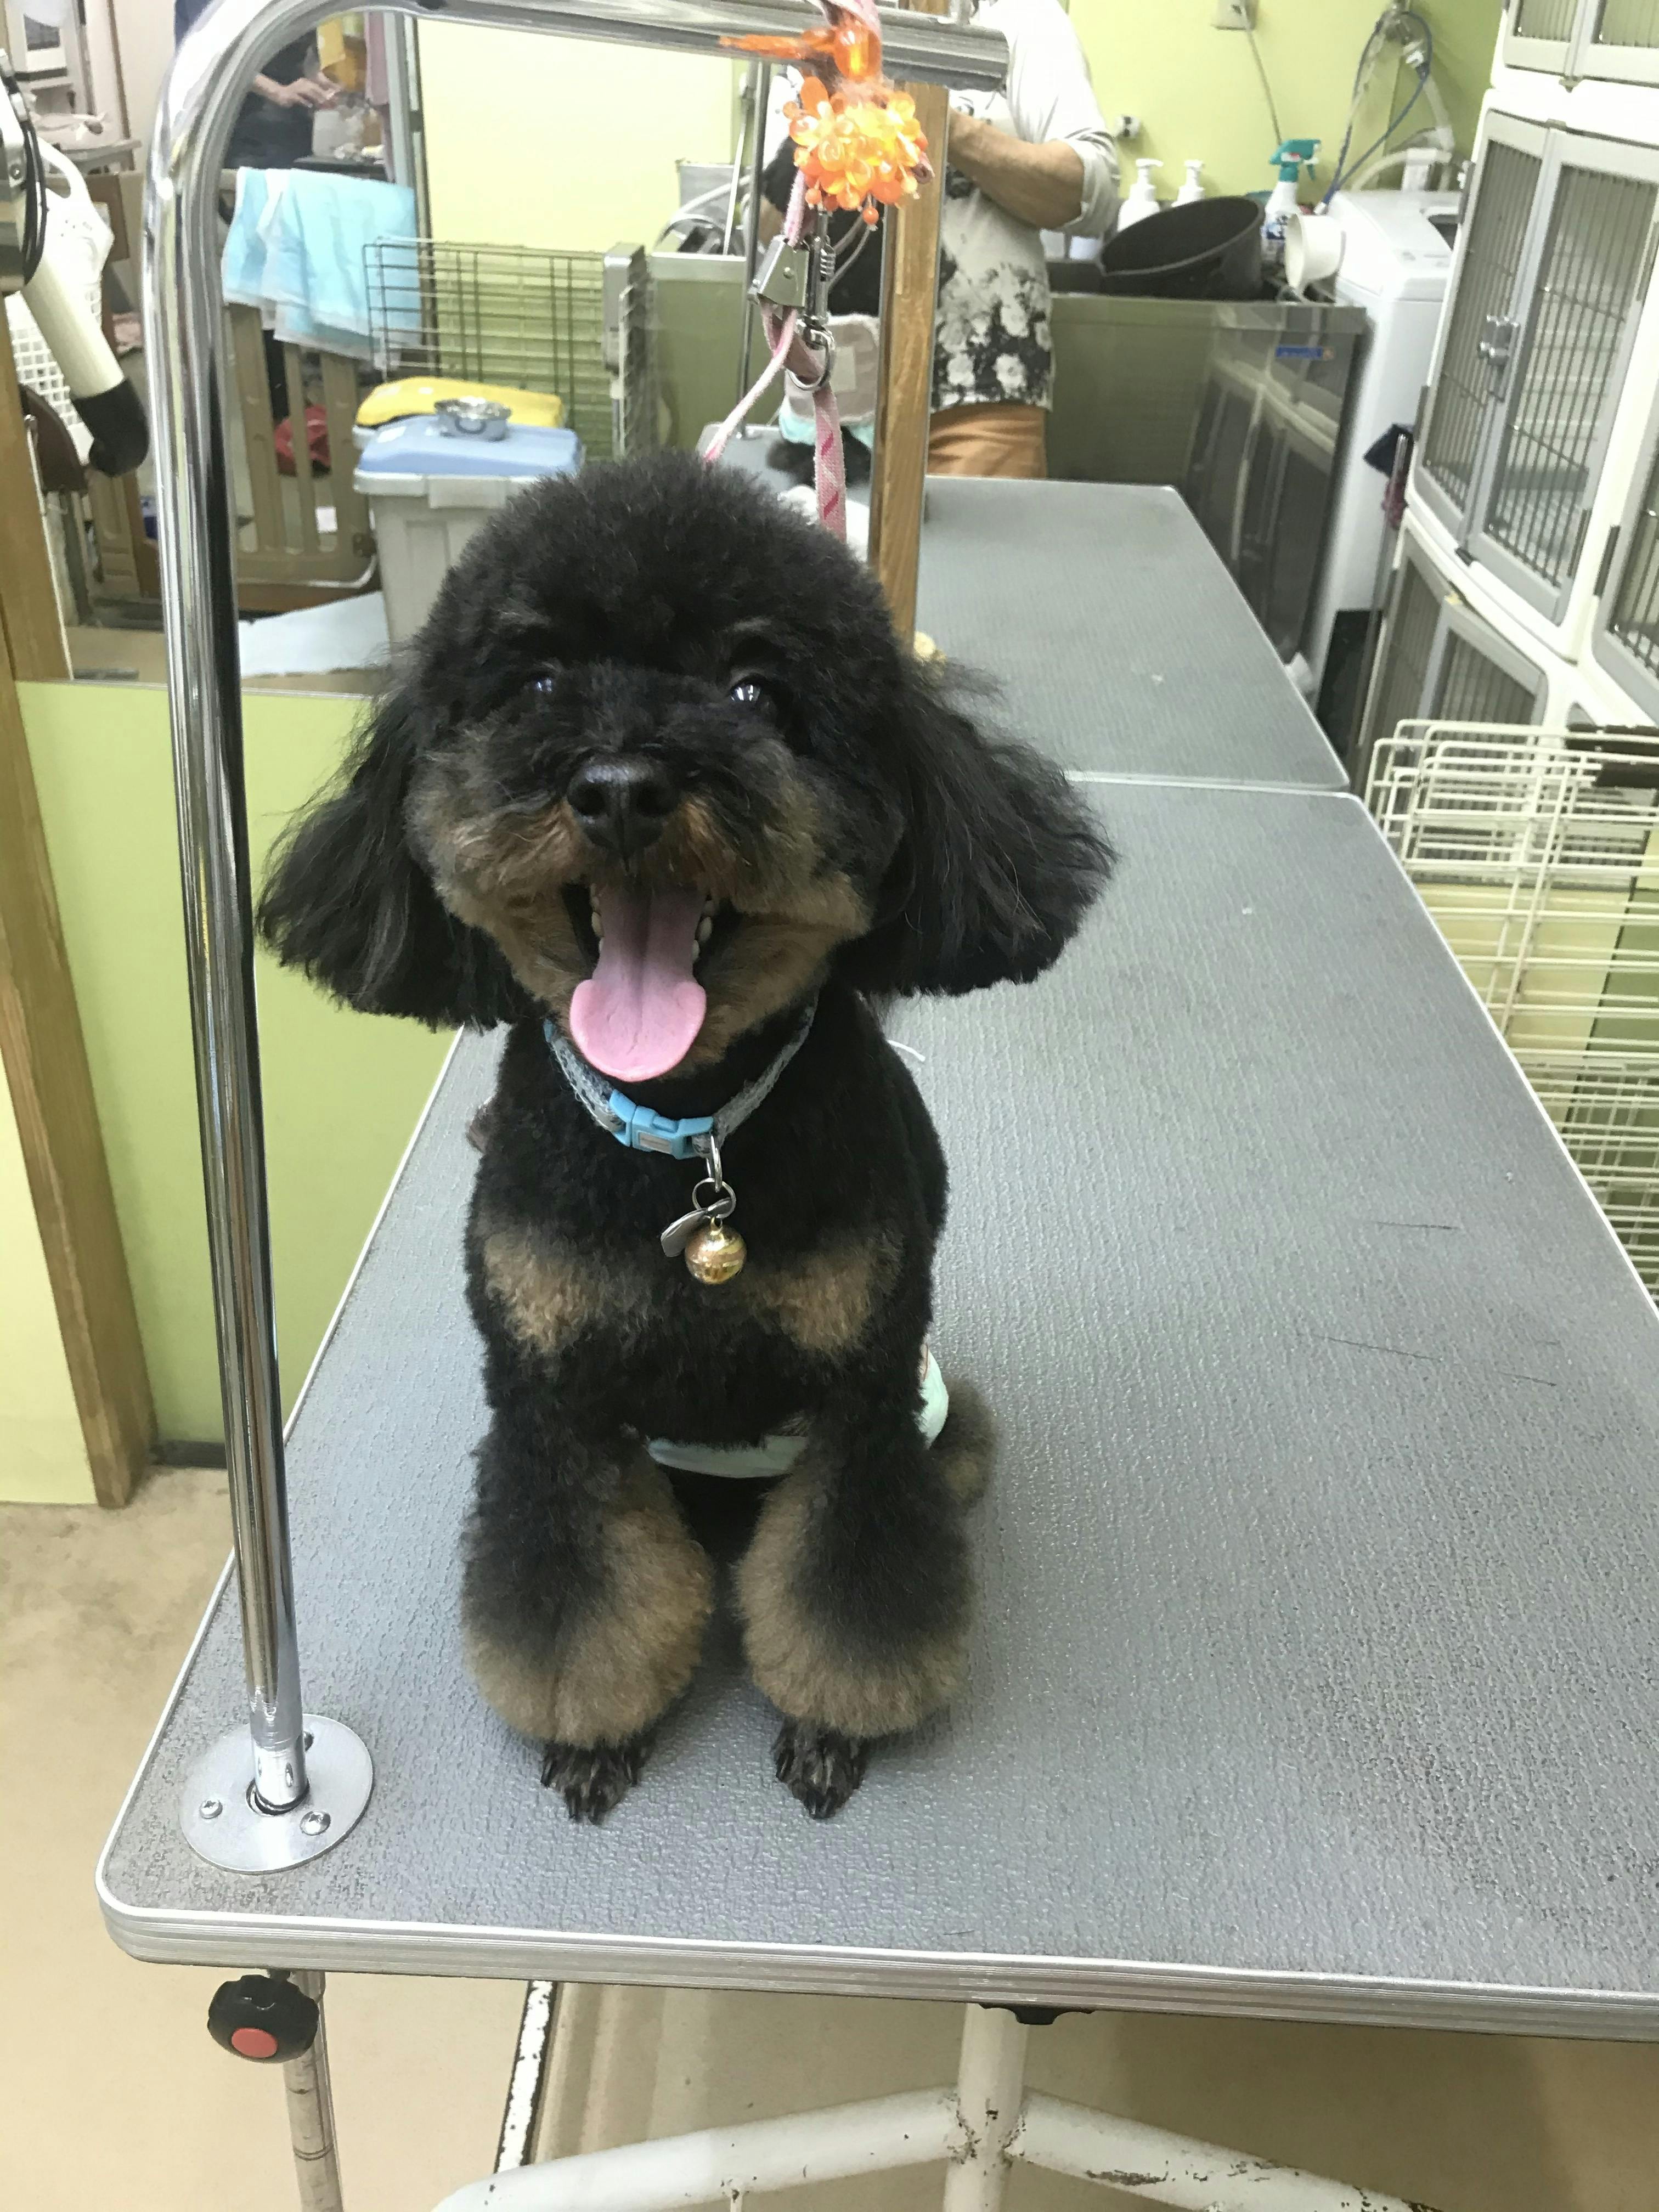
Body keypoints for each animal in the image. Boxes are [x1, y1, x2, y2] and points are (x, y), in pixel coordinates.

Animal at [259, 451, 1112, 1821]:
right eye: (536, 684)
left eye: (757, 690)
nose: (620, 789)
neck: (683, 1136)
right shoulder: (553, 1410)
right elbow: (581, 1599)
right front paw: (596, 1734)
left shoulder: (867, 1399)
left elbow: (851, 1594)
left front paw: (831, 1725)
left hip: (943, 1420)